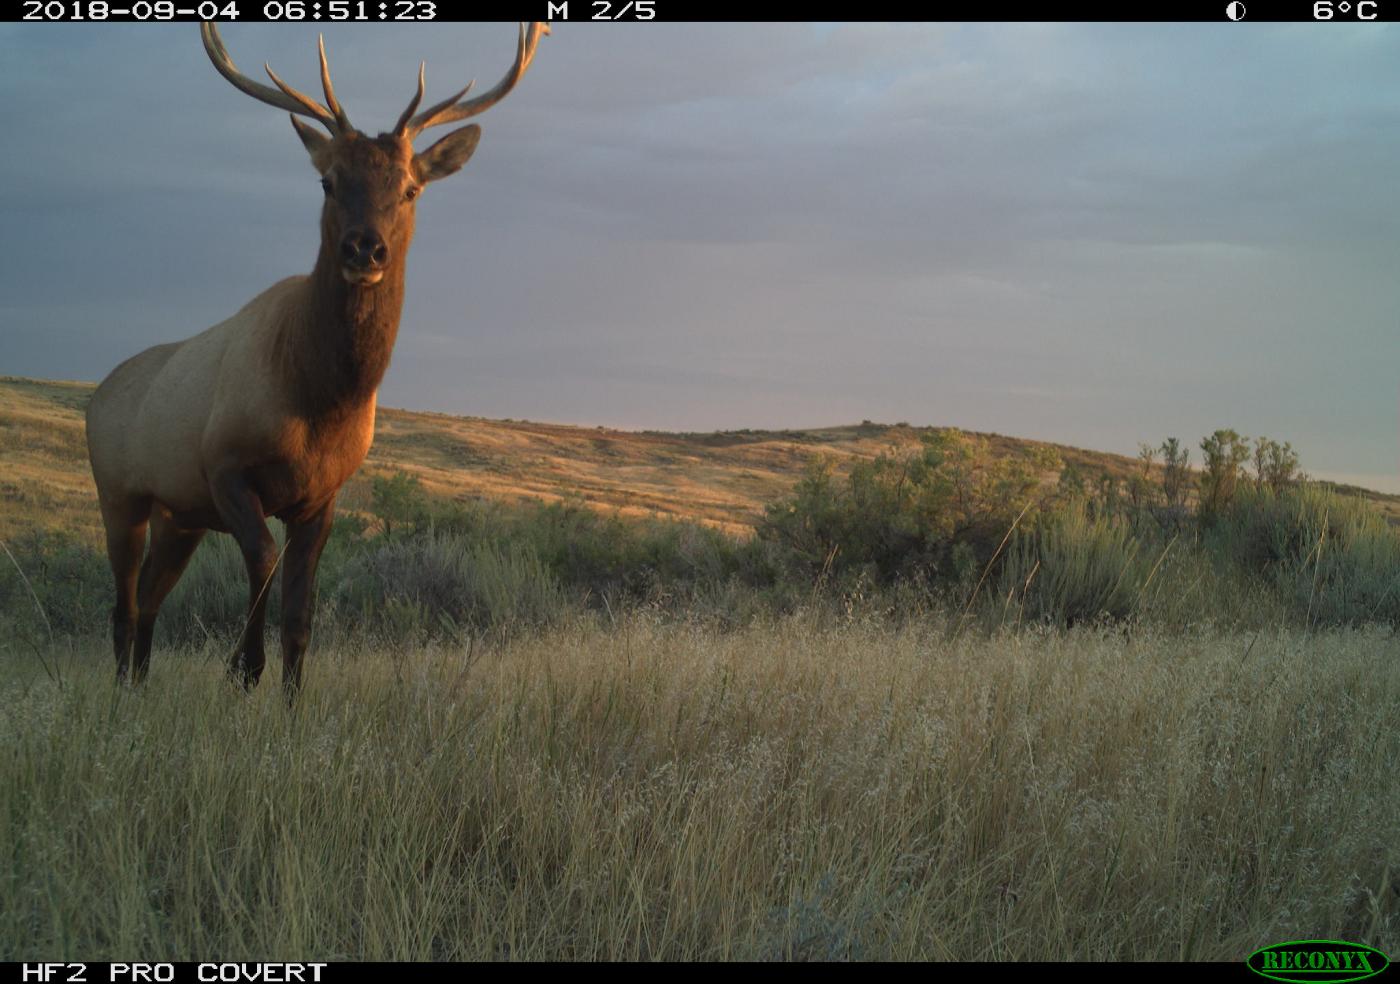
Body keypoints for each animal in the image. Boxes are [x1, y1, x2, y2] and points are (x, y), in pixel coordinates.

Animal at [86, 23, 546, 699]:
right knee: (123, 603)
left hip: (179, 514)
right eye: (328, 181)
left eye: (410, 188)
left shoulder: (323, 495)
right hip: (120, 491)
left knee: (147, 599)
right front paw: (242, 669)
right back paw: (122, 692)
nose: (364, 248)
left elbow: (300, 615)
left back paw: (139, 686)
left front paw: (291, 700)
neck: (319, 402)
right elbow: (263, 563)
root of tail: (99, 390)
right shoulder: (224, 464)